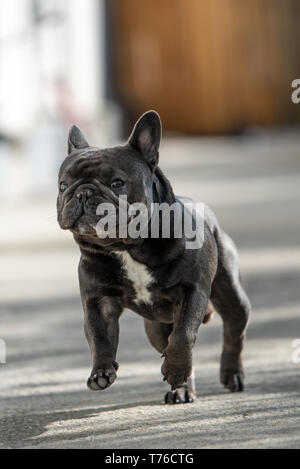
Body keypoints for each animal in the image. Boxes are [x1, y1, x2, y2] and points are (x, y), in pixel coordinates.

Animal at [56, 109, 251, 402]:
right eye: (63, 185)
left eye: (117, 183)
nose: (83, 192)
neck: (125, 247)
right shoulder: (98, 302)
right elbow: (99, 337)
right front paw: (101, 372)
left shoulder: (192, 291)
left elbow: (184, 335)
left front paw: (175, 369)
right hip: (157, 327)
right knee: (169, 344)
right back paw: (182, 388)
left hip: (230, 294)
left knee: (233, 331)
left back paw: (231, 374)